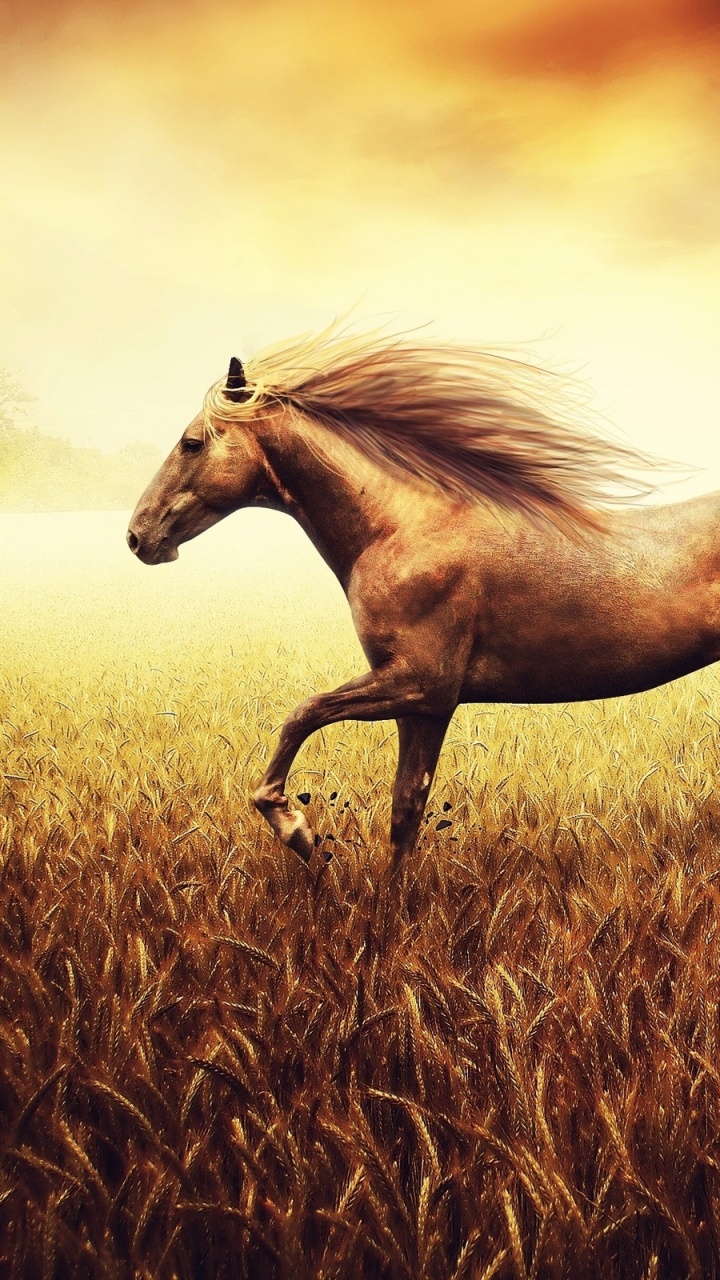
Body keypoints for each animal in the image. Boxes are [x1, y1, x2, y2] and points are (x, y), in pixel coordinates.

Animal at [127, 323, 713, 871]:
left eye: (192, 442)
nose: (137, 537)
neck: (401, 529)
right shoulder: (424, 707)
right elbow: (405, 811)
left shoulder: (420, 684)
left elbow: (302, 713)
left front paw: (296, 829)